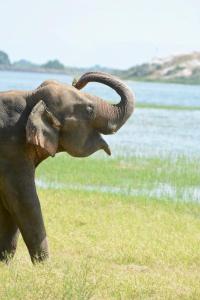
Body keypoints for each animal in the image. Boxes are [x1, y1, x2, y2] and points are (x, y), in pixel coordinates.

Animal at [0, 72, 135, 262]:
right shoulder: (11, 151)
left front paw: (4, 263)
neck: (30, 97)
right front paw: (44, 266)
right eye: (89, 110)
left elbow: (8, 205)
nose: (77, 81)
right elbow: (24, 201)